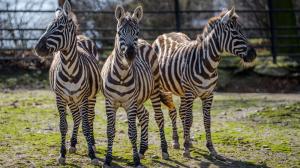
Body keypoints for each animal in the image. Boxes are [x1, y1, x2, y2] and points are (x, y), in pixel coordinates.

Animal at [34, 0, 101, 165]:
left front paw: (92, 155)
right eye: (47, 27)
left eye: (60, 27)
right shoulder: (60, 97)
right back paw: (73, 144)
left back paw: (92, 144)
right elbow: (63, 125)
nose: (38, 48)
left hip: (91, 97)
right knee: (77, 117)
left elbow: (86, 125)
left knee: (90, 117)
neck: (69, 68)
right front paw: (62, 154)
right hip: (71, 99)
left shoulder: (83, 98)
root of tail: (82, 37)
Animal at [101, 4, 169, 167]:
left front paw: (136, 160)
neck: (121, 75)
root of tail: (144, 42)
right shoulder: (110, 102)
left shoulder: (130, 103)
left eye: (136, 32)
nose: (131, 54)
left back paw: (164, 150)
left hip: (154, 90)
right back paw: (142, 149)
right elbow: (110, 131)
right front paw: (108, 159)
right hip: (139, 98)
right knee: (145, 115)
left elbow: (132, 132)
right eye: (119, 32)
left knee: (159, 117)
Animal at [154, 7, 256, 159]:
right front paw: (186, 149)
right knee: (172, 112)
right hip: (165, 88)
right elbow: (189, 119)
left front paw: (211, 148)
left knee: (181, 112)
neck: (208, 64)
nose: (253, 54)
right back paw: (176, 141)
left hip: (181, 90)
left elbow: (206, 121)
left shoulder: (209, 94)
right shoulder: (190, 93)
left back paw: (186, 141)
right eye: (234, 32)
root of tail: (164, 34)